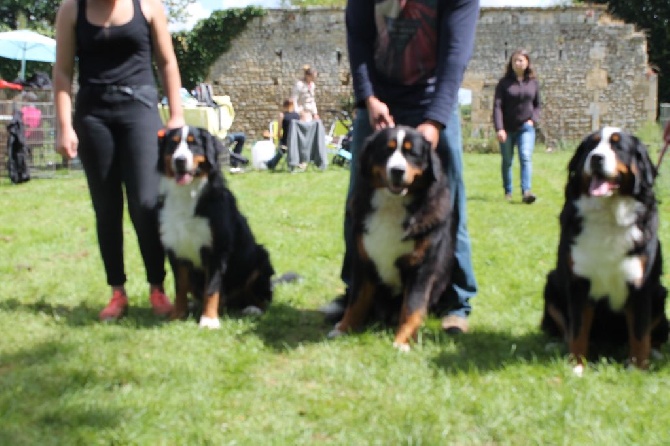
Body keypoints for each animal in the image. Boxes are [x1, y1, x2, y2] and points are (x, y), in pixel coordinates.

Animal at [330, 123, 454, 350]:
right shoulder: (363, 260)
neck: (392, 204)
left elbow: (412, 308)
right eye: (386, 150)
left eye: (412, 153)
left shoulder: (421, 267)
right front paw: (343, 328)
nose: (397, 170)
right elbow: (356, 301)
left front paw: (402, 343)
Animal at [544, 126, 668, 372]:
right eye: (591, 146)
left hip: (660, 293)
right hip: (552, 284)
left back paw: (656, 353)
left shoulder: (641, 285)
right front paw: (577, 366)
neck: (609, 214)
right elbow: (578, 330)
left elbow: (640, 333)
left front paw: (638, 368)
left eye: (618, 146)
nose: (596, 158)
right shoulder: (579, 281)